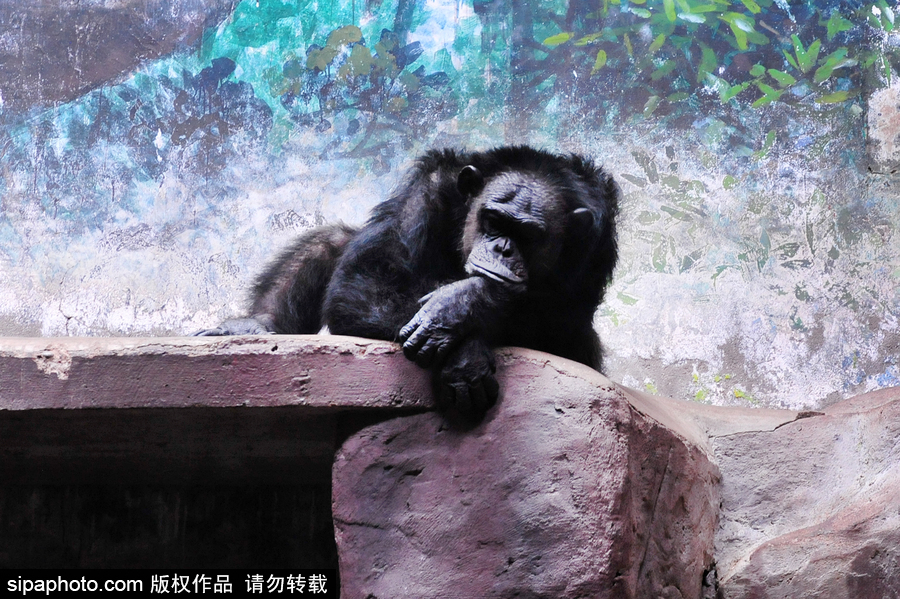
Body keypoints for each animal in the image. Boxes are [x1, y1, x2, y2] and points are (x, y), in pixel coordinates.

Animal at [196, 146, 620, 418]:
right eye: (494, 220)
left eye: (529, 235)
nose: (502, 249)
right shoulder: (427, 189)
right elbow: (366, 280)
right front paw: (464, 356)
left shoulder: (597, 239)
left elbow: (560, 321)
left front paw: (459, 305)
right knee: (335, 241)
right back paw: (258, 325)